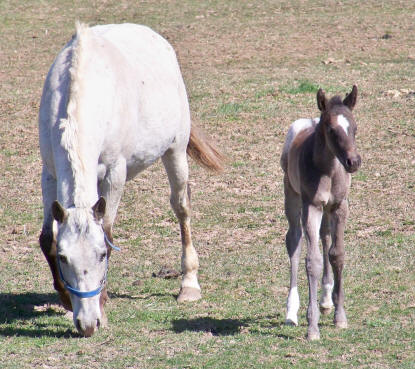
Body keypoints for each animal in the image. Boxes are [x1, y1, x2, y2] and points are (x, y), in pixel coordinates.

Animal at [39, 21, 224, 334]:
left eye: (102, 254)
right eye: (64, 257)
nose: (87, 324)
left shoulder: (116, 172)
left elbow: (108, 230)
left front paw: (102, 305)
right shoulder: (48, 173)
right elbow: (46, 238)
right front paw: (66, 301)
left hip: (175, 151)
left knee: (182, 207)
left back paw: (189, 284)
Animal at [282, 85, 360, 340]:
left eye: (354, 127)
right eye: (331, 129)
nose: (353, 161)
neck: (328, 171)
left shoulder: (339, 206)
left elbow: (337, 254)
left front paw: (340, 316)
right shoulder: (312, 206)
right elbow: (312, 261)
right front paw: (312, 327)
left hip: (326, 211)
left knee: (325, 237)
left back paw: (326, 300)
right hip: (292, 195)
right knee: (294, 241)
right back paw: (291, 312)